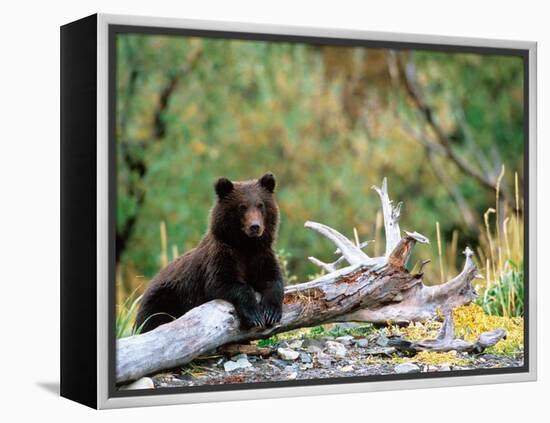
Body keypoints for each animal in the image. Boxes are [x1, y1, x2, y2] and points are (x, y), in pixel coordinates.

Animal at [136, 172, 286, 334]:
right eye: (242, 207)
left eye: (260, 205)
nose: (255, 227)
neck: (244, 245)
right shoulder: (221, 256)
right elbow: (223, 283)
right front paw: (255, 315)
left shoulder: (260, 254)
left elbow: (272, 278)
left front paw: (271, 312)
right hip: (164, 296)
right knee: (152, 318)